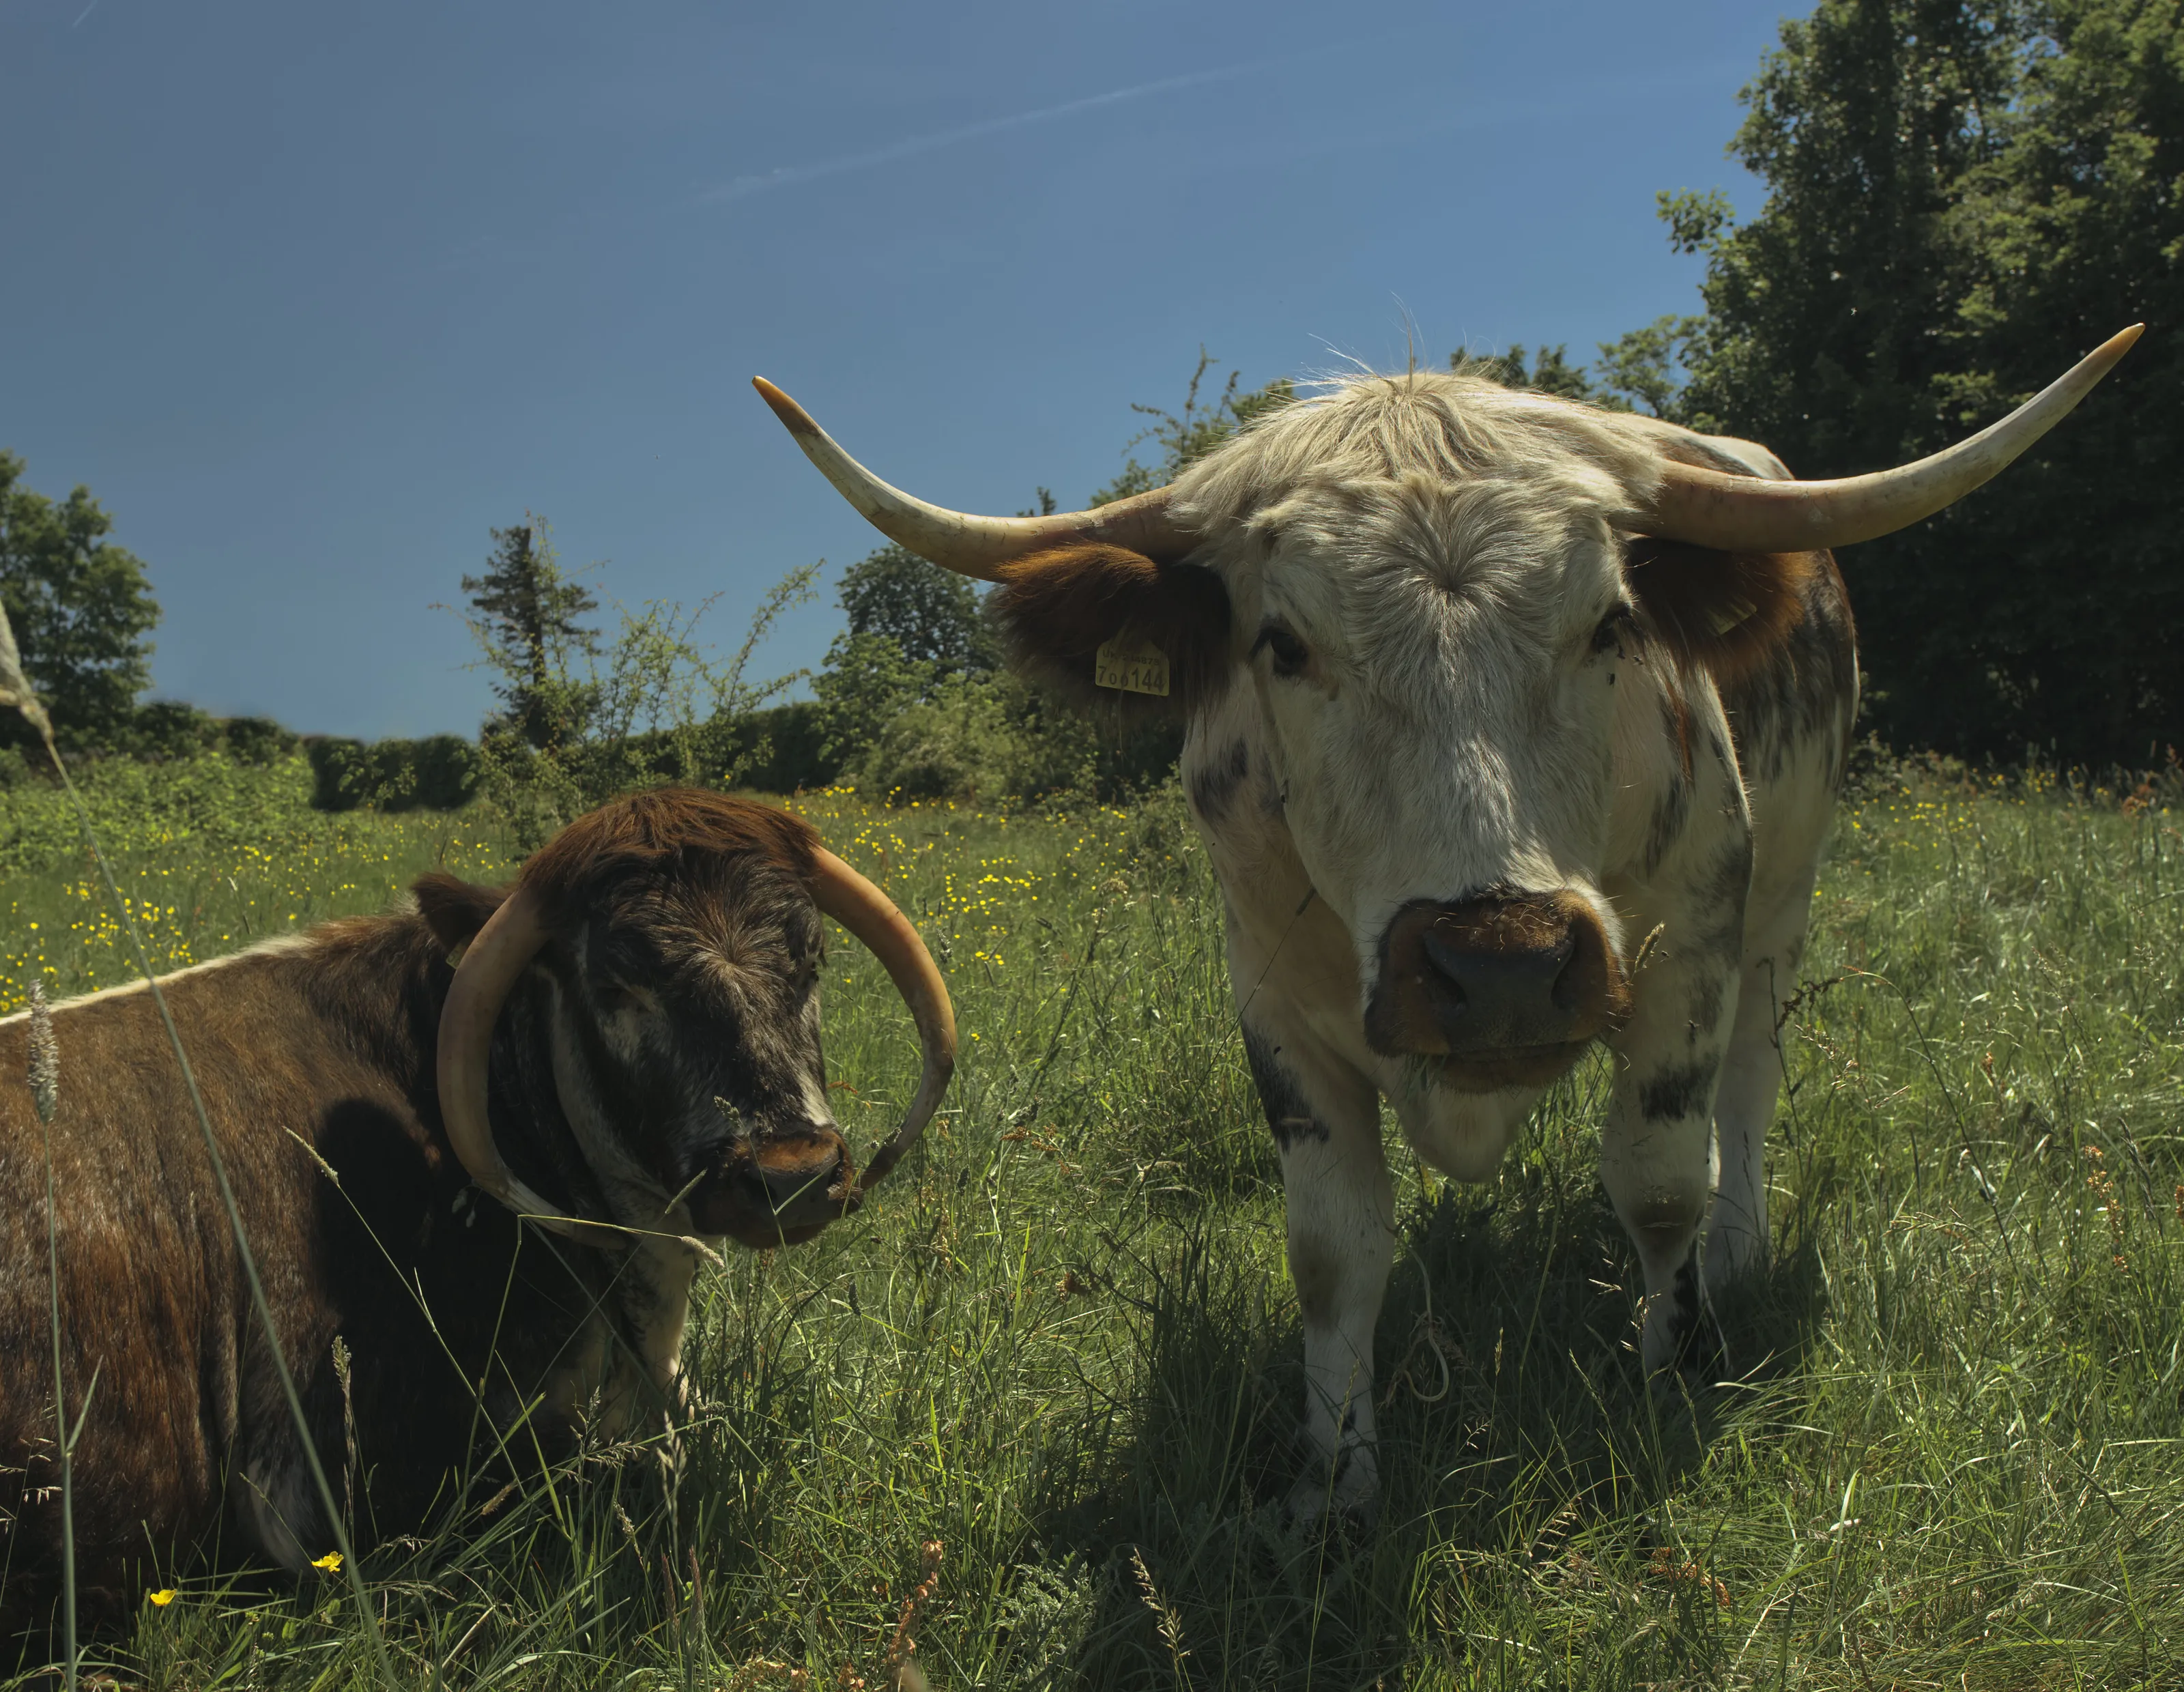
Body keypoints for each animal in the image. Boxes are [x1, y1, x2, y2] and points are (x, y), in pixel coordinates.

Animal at [755, 324, 2139, 1518]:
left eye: (1611, 622)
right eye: (1282, 643)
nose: (1504, 964)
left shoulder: (1687, 952)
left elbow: (1658, 1184)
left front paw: (1662, 1372)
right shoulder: (1273, 1001)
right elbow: (1332, 1248)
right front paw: (1334, 1476)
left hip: (1780, 899)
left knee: (1749, 1084)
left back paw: (1738, 1256)